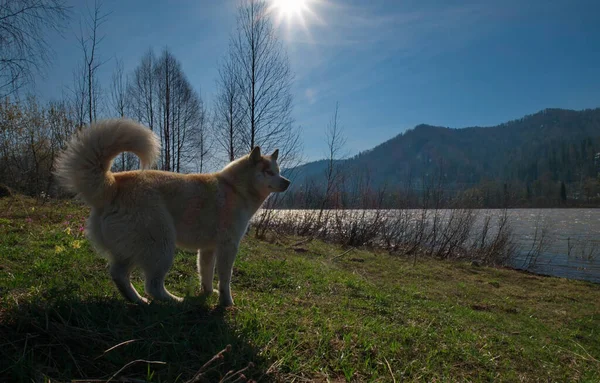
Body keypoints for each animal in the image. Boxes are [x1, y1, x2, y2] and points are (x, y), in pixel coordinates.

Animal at [54, 119, 290, 306]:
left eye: (278, 171)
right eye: (268, 172)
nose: (287, 182)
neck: (234, 188)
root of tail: (113, 184)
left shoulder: (208, 249)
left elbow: (206, 273)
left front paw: (207, 293)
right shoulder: (228, 245)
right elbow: (225, 278)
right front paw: (226, 302)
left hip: (130, 250)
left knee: (119, 275)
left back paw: (137, 300)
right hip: (161, 246)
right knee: (153, 285)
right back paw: (176, 301)